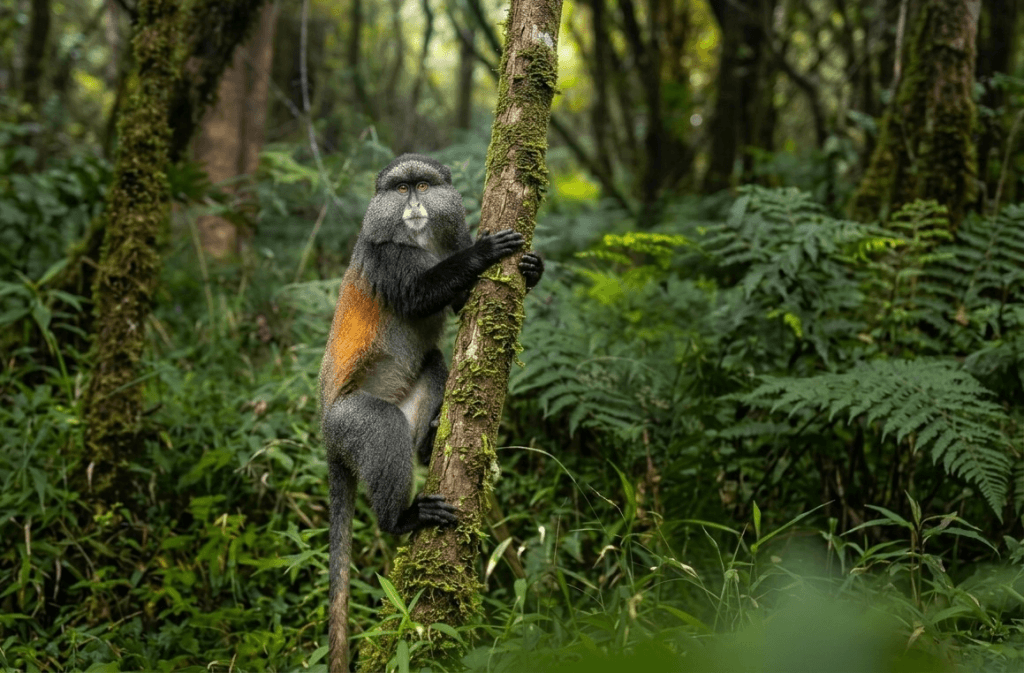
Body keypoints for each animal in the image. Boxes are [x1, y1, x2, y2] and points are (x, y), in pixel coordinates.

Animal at [318, 154, 543, 672]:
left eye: (423, 186)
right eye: (400, 190)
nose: (415, 205)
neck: (419, 240)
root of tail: (327, 436)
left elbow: (460, 302)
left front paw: (533, 268)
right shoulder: (384, 257)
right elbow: (421, 293)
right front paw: (484, 251)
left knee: (436, 361)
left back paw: (427, 443)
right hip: (351, 421)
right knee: (382, 428)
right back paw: (401, 519)